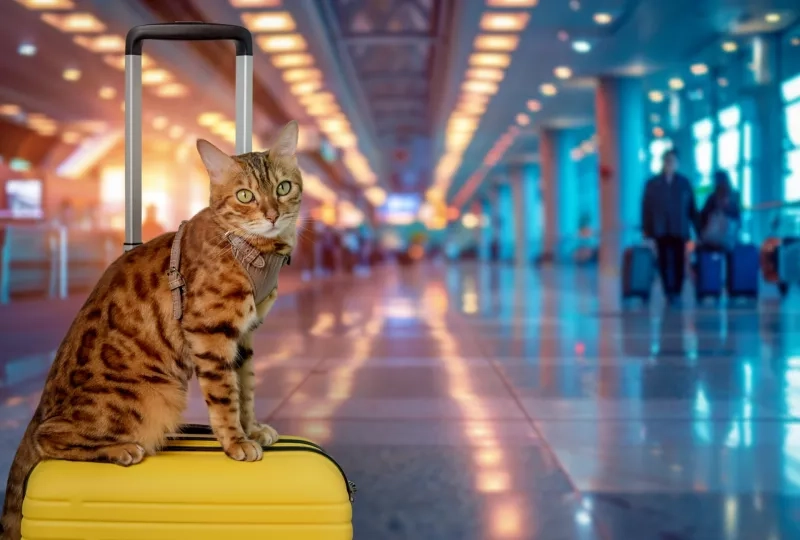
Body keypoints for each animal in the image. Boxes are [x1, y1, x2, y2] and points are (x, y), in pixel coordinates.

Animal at [1, 120, 302, 536]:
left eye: (283, 187)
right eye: (245, 196)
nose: (272, 214)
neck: (253, 249)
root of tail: (40, 408)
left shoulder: (244, 336)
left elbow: (247, 390)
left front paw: (251, 428)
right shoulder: (210, 331)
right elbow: (225, 396)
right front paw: (235, 442)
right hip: (154, 397)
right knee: (48, 438)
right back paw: (120, 449)